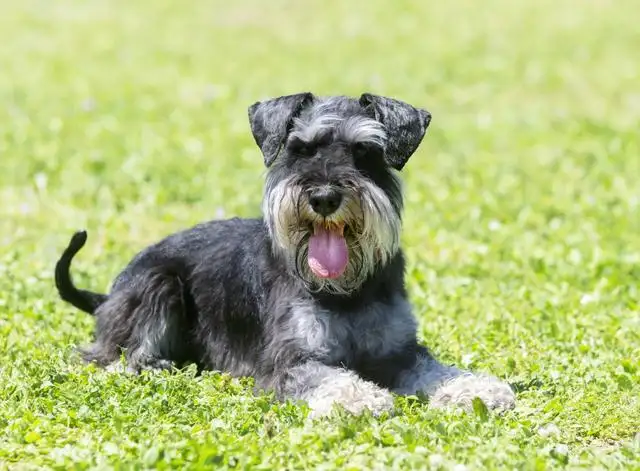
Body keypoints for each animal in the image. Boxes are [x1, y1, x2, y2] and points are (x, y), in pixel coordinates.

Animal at [55, 92, 516, 416]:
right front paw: (359, 399)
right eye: (300, 149)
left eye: (364, 151)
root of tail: (107, 297)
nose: (325, 197)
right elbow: (327, 377)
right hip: (157, 284)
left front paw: (479, 388)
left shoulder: (398, 350)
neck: (343, 290)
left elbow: (436, 370)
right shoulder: (290, 359)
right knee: (114, 355)